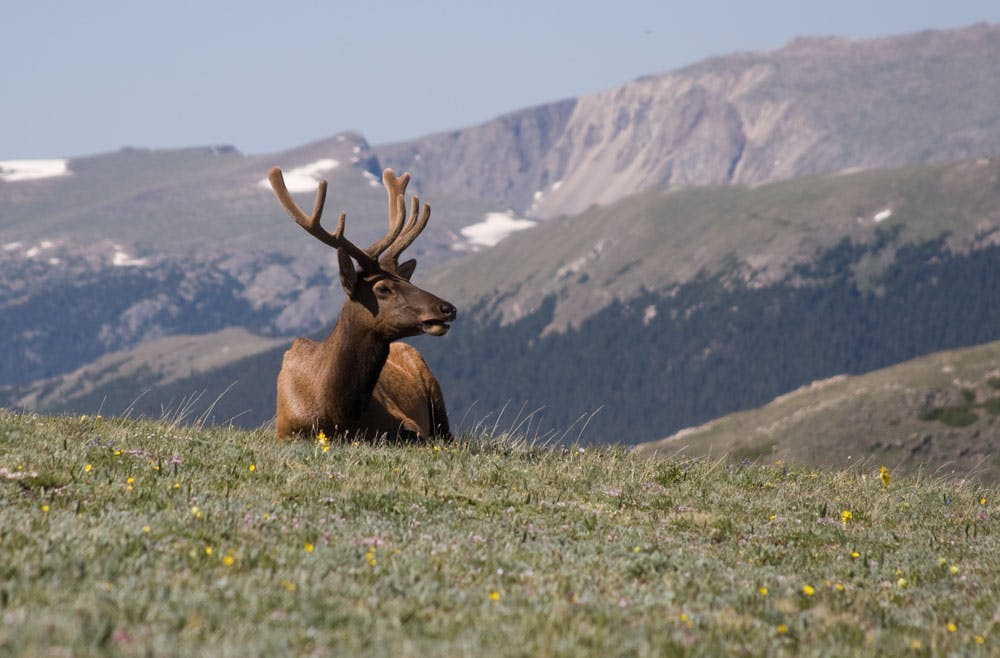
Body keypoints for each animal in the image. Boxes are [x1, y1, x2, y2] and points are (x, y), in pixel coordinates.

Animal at [266, 164, 454, 440]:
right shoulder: (285, 431)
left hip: (436, 395)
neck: (337, 414)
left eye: (407, 280)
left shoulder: (408, 423)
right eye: (383, 288)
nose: (448, 308)